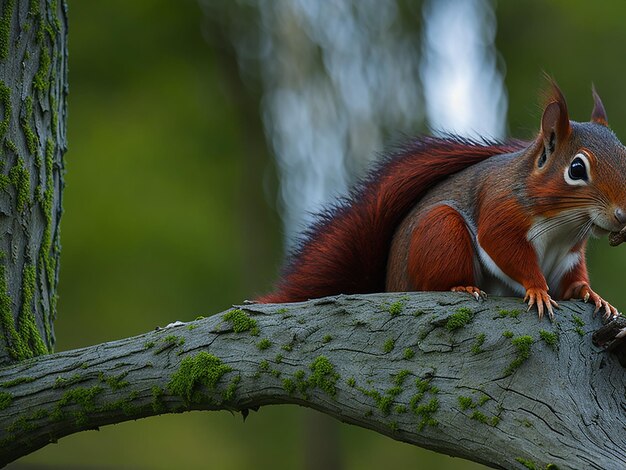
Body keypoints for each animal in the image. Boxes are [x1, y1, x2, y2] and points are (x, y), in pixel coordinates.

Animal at [256, 82, 620, 322]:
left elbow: (572, 279)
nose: (622, 216)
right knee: (437, 281)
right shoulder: (501, 211)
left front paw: (592, 295)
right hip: (441, 230)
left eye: (625, 154)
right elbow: (505, 249)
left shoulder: (569, 254)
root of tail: (391, 286)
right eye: (576, 169)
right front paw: (538, 290)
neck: (564, 223)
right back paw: (462, 288)